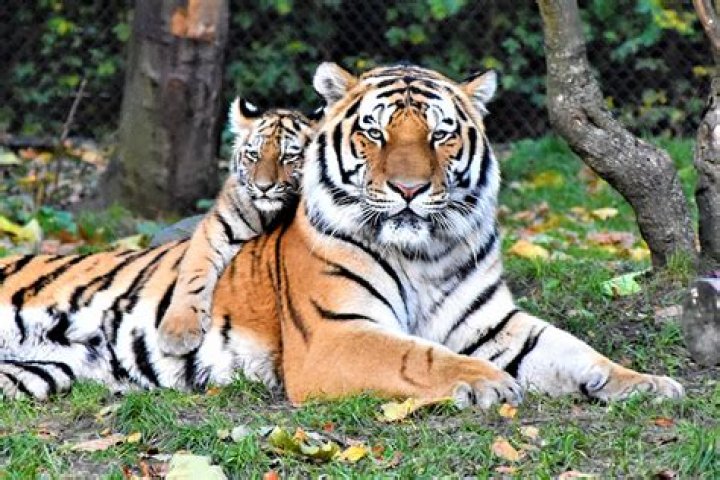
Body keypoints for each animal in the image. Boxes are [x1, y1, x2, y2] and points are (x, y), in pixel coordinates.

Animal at [156, 98, 318, 355]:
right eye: (253, 155)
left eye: (287, 157)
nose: (263, 187)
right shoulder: (215, 228)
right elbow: (193, 275)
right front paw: (177, 331)